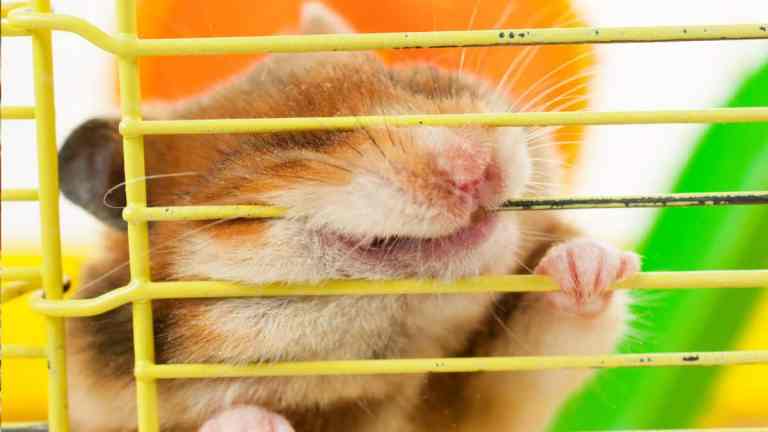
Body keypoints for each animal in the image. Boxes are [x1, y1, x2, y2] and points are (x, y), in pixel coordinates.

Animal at [59, 3, 639, 431]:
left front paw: (589, 265)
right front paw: (253, 419)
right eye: (294, 142)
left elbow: (551, 334)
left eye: (405, 79)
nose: (477, 169)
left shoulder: (493, 391)